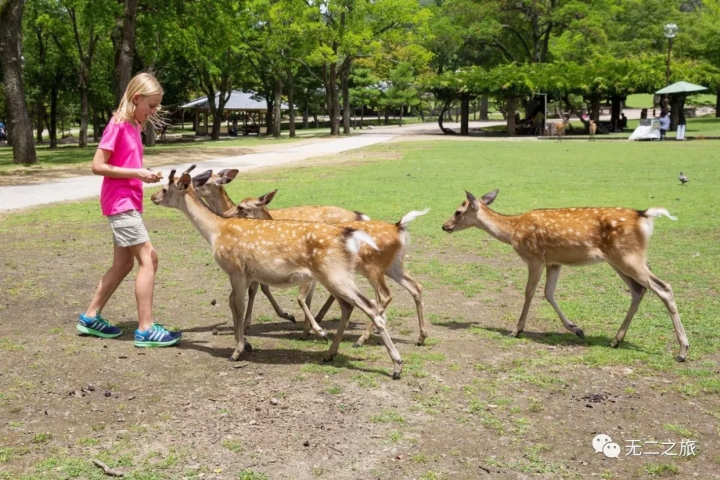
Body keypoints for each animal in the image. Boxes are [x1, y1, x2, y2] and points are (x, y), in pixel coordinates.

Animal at [152, 169, 404, 378]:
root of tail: (350, 235)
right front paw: (246, 344)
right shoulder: (244, 274)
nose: (153, 197)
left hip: (335, 274)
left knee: (371, 305)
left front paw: (238, 350)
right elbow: (236, 303)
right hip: (334, 276)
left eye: (165, 188)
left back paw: (395, 365)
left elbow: (238, 305)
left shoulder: (236, 269)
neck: (215, 233)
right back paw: (330, 352)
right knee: (349, 306)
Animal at [225, 189, 428, 346]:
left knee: (384, 296)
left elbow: (300, 299)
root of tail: (399, 228)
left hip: (373, 268)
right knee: (416, 286)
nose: (226, 215)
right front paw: (306, 331)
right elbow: (307, 299)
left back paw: (361, 339)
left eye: (241, 207)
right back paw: (421, 337)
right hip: (394, 266)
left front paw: (317, 331)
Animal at [442, 189, 688, 362]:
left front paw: (516, 330)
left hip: (628, 256)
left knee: (663, 287)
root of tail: (645, 216)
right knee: (639, 290)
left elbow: (530, 291)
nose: (445, 226)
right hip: (620, 260)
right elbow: (549, 293)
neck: (512, 231)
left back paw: (683, 351)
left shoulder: (535, 258)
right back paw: (616, 340)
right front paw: (577, 329)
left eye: (458, 211)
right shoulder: (554, 262)